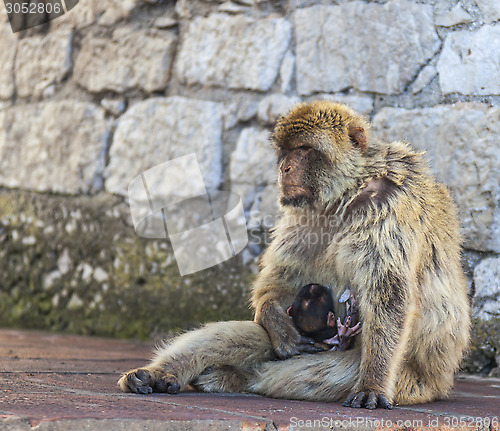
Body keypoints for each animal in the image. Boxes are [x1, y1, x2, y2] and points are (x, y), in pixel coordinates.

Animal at [119, 101, 470, 412]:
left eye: (304, 149)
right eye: (285, 152)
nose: (283, 168)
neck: (345, 195)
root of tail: (440, 382)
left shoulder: (388, 203)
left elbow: (389, 296)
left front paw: (373, 382)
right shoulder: (302, 213)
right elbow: (281, 277)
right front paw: (274, 316)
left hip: (412, 381)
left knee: (318, 373)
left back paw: (236, 377)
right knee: (240, 335)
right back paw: (163, 375)